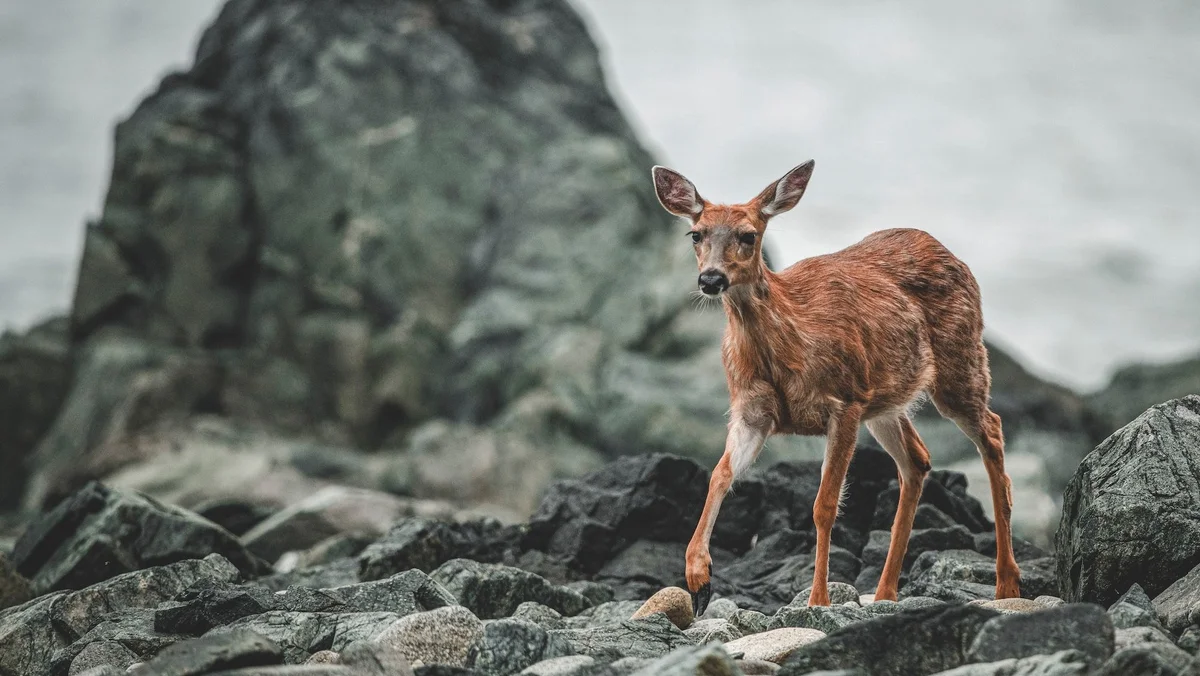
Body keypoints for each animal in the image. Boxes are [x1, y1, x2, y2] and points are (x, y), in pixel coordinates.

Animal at [651, 160, 1020, 614]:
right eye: (696, 234)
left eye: (748, 235)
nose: (711, 278)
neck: (785, 346)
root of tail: (951, 255)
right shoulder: (752, 411)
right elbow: (719, 475)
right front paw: (698, 578)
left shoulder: (844, 402)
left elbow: (824, 505)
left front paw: (818, 599)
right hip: (886, 399)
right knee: (918, 459)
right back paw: (886, 592)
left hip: (959, 360)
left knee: (993, 431)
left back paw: (1007, 585)